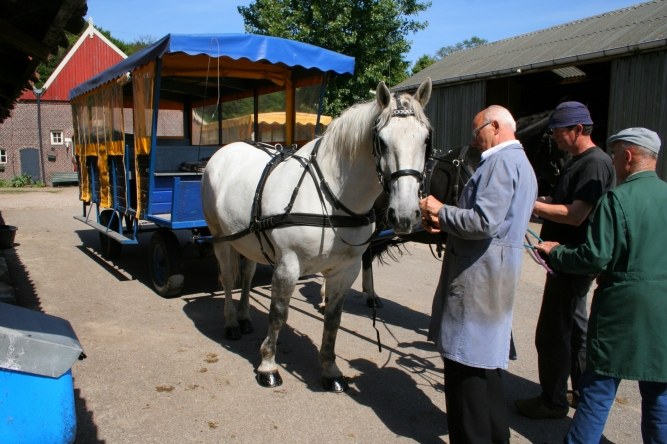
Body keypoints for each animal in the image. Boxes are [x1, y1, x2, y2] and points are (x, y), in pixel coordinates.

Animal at [201, 78, 433, 392]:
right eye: (382, 142)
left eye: (425, 140)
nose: (405, 215)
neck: (330, 195)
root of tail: (225, 150)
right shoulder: (288, 265)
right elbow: (279, 314)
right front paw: (267, 365)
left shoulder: (345, 270)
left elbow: (333, 320)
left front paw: (330, 369)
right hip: (219, 238)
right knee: (227, 279)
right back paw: (231, 323)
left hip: (247, 239)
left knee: (246, 276)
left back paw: (245, 316)